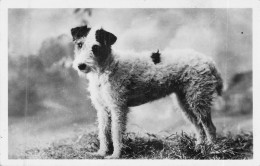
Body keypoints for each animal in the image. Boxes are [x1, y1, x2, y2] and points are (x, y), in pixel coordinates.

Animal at [70, 25, 223, 159]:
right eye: (80, 44)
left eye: (95, 47)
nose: (81, 66)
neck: (107, 68)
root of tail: (208, 61)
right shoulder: (102, 109)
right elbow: (103, 132)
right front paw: (101, 153)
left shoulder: (118, 107)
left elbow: (116, 132)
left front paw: (115, 155)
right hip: (186, 103)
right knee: (199, 127)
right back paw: (199, 148)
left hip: (198, 100)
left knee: (210, 127)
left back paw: (212, 150)